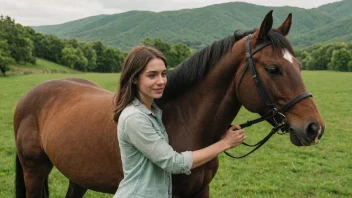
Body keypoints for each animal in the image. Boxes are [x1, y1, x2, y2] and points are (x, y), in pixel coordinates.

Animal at [15, 11, 326, 198]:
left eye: (299, 66)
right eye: (274, 69)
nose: (314, 128)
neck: (186, 121)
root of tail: (31, 96)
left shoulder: (201, 191)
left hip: (77, 176)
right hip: (34, 169)